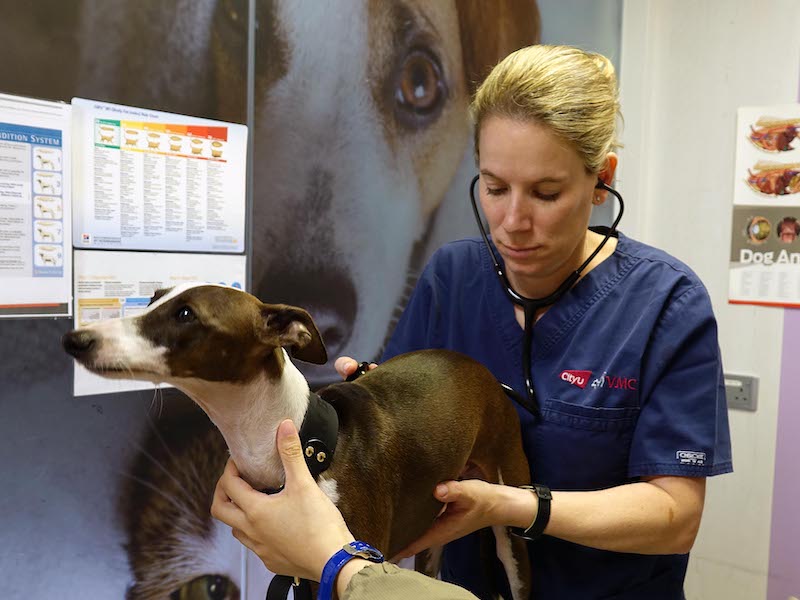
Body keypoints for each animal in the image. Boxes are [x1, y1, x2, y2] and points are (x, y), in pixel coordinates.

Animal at [62, 284, 536, 596]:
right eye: (154, 297)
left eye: (185, 314)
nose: (75, 339)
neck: (308, 446)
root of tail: (484, 373)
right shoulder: (309, 572)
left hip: (511, 523)